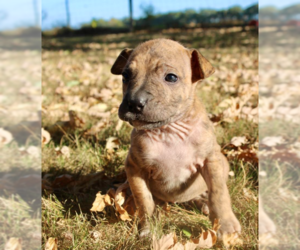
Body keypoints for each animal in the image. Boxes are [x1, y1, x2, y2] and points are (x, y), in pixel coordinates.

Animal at [110, 39, 241, 240]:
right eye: (125, 75)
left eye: (171, 77)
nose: (133, 103)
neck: (169, 131)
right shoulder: (134, 167)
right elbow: (144, 200)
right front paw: (147, 228)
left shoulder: (211, 160)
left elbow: (218, 192)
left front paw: (225, 225)